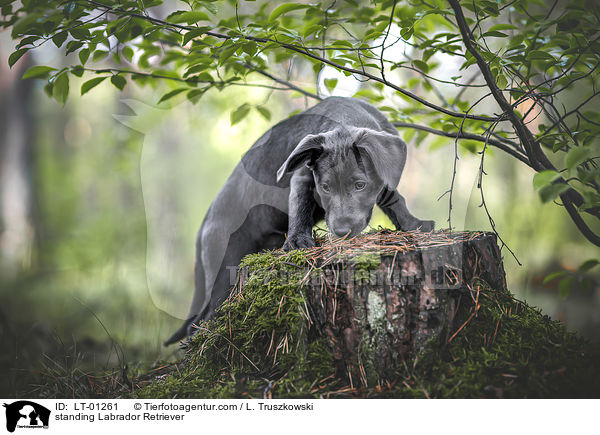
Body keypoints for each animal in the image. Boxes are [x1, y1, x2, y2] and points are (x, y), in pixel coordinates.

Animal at [166, 97, 434, 346]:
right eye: (325, 187)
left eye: (360, 185)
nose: (341, 231)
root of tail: (205, 222)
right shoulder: (302, 177)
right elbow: (300, 208)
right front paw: (298, 241)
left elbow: (394, 199)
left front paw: (412, 223)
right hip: (223, 271)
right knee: (202, 320)